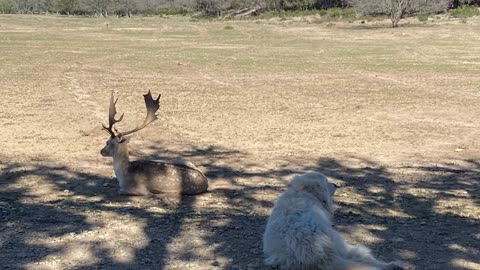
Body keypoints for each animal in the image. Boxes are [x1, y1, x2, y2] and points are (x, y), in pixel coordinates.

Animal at [262, 172, 404, 270]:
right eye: (326, 181)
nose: (336, 184)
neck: (302, 192)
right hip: (343, 245)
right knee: (365, 258)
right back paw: (393, 265)